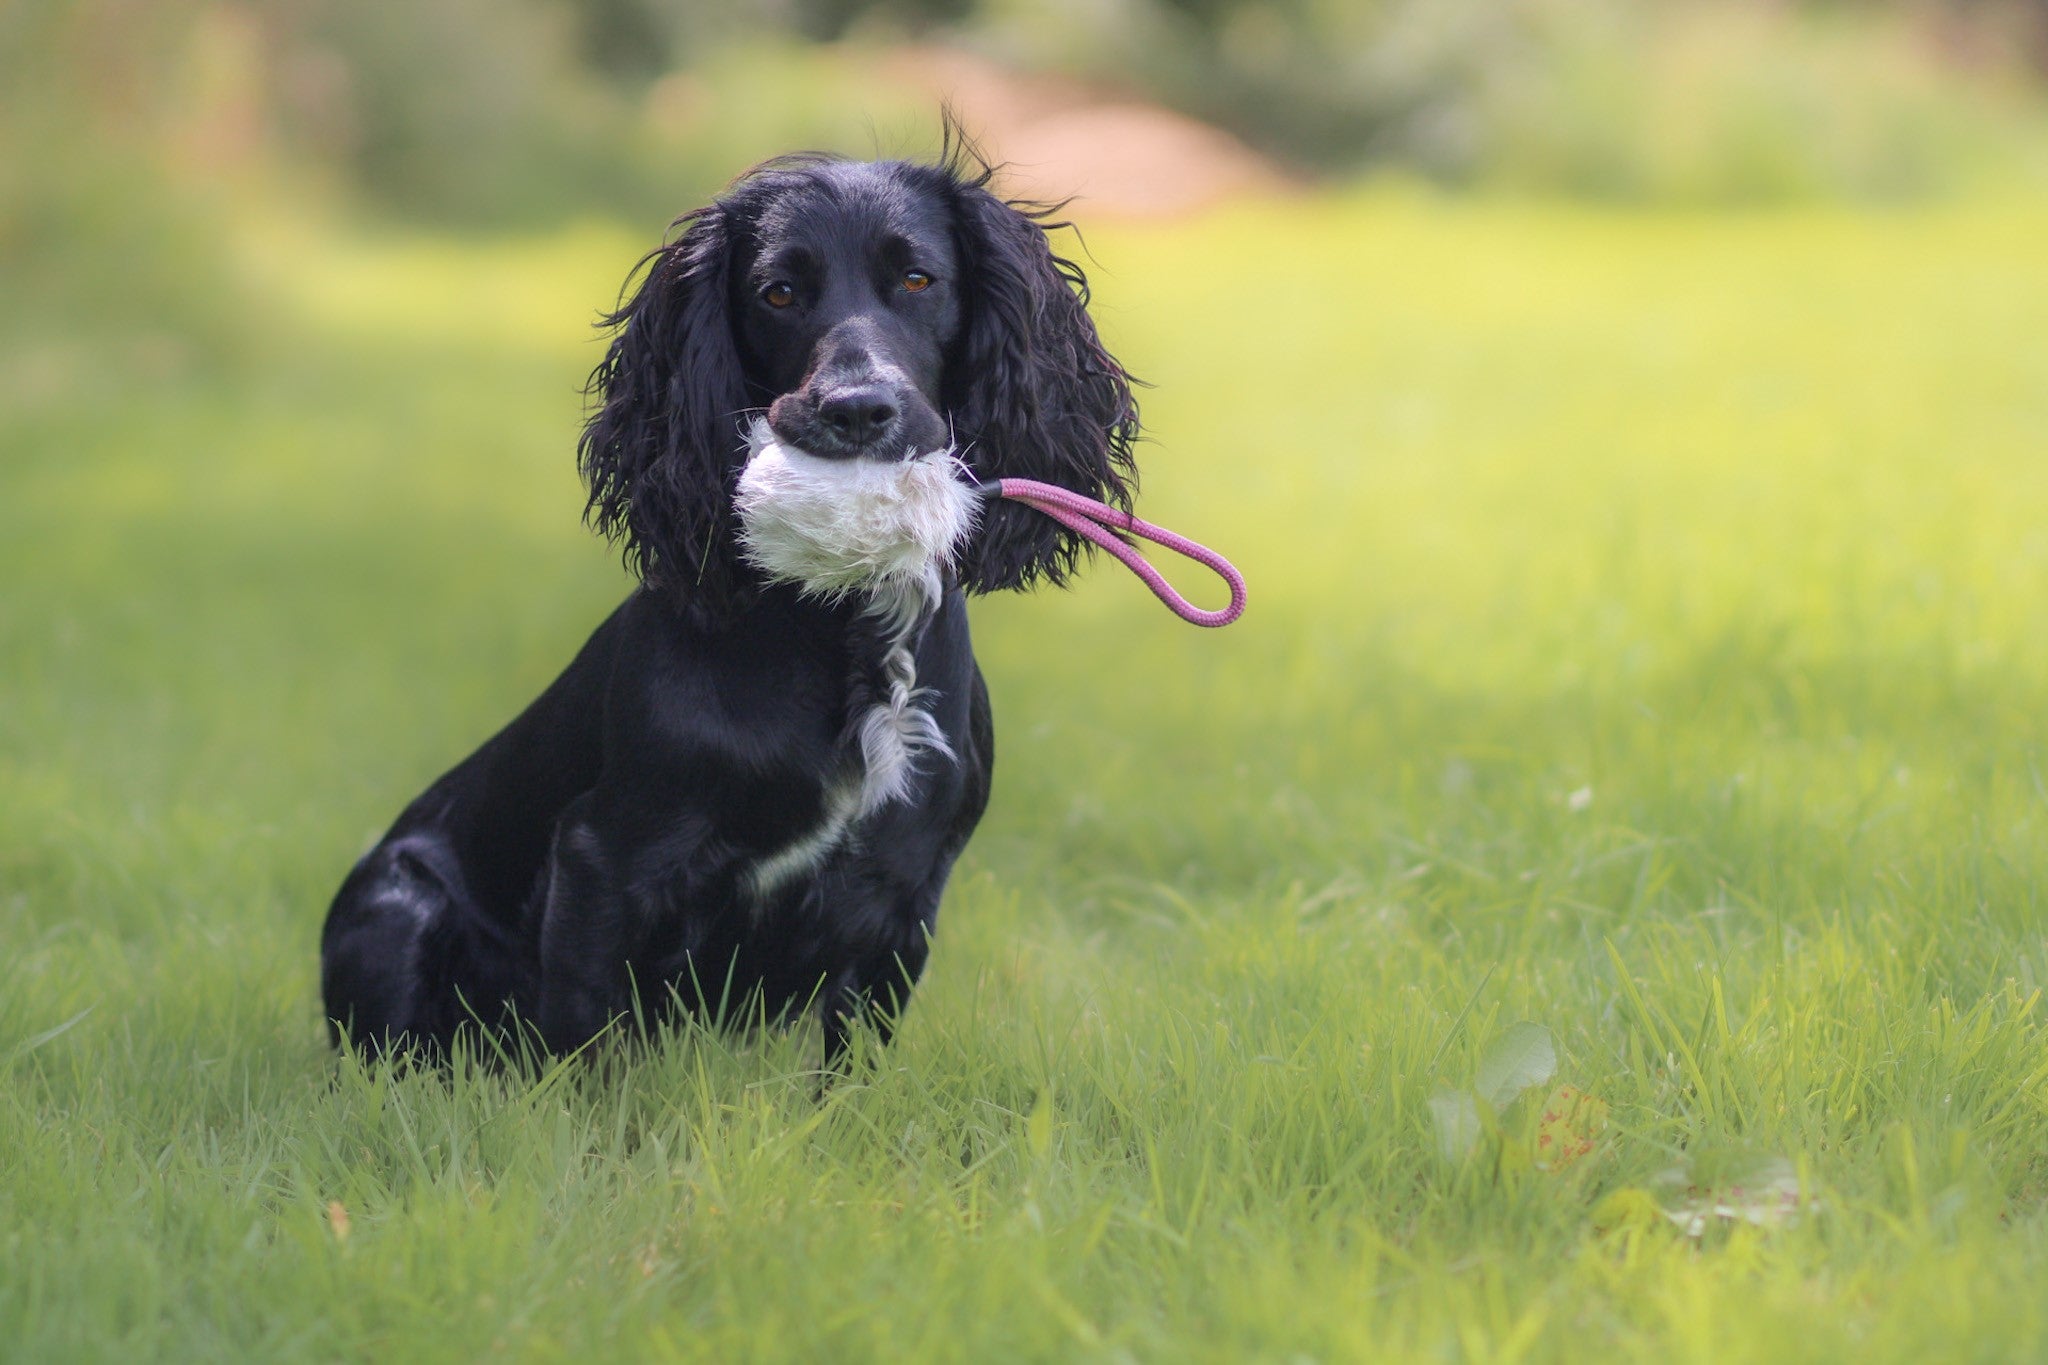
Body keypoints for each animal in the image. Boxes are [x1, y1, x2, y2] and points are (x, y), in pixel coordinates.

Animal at [327, 147, 1146, 1064]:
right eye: (778, 292)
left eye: (918, 280)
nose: (856, 409)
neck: (845, 634)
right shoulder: (601, 860)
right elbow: (589, 1052)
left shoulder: (902, 895)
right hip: (393, 906)